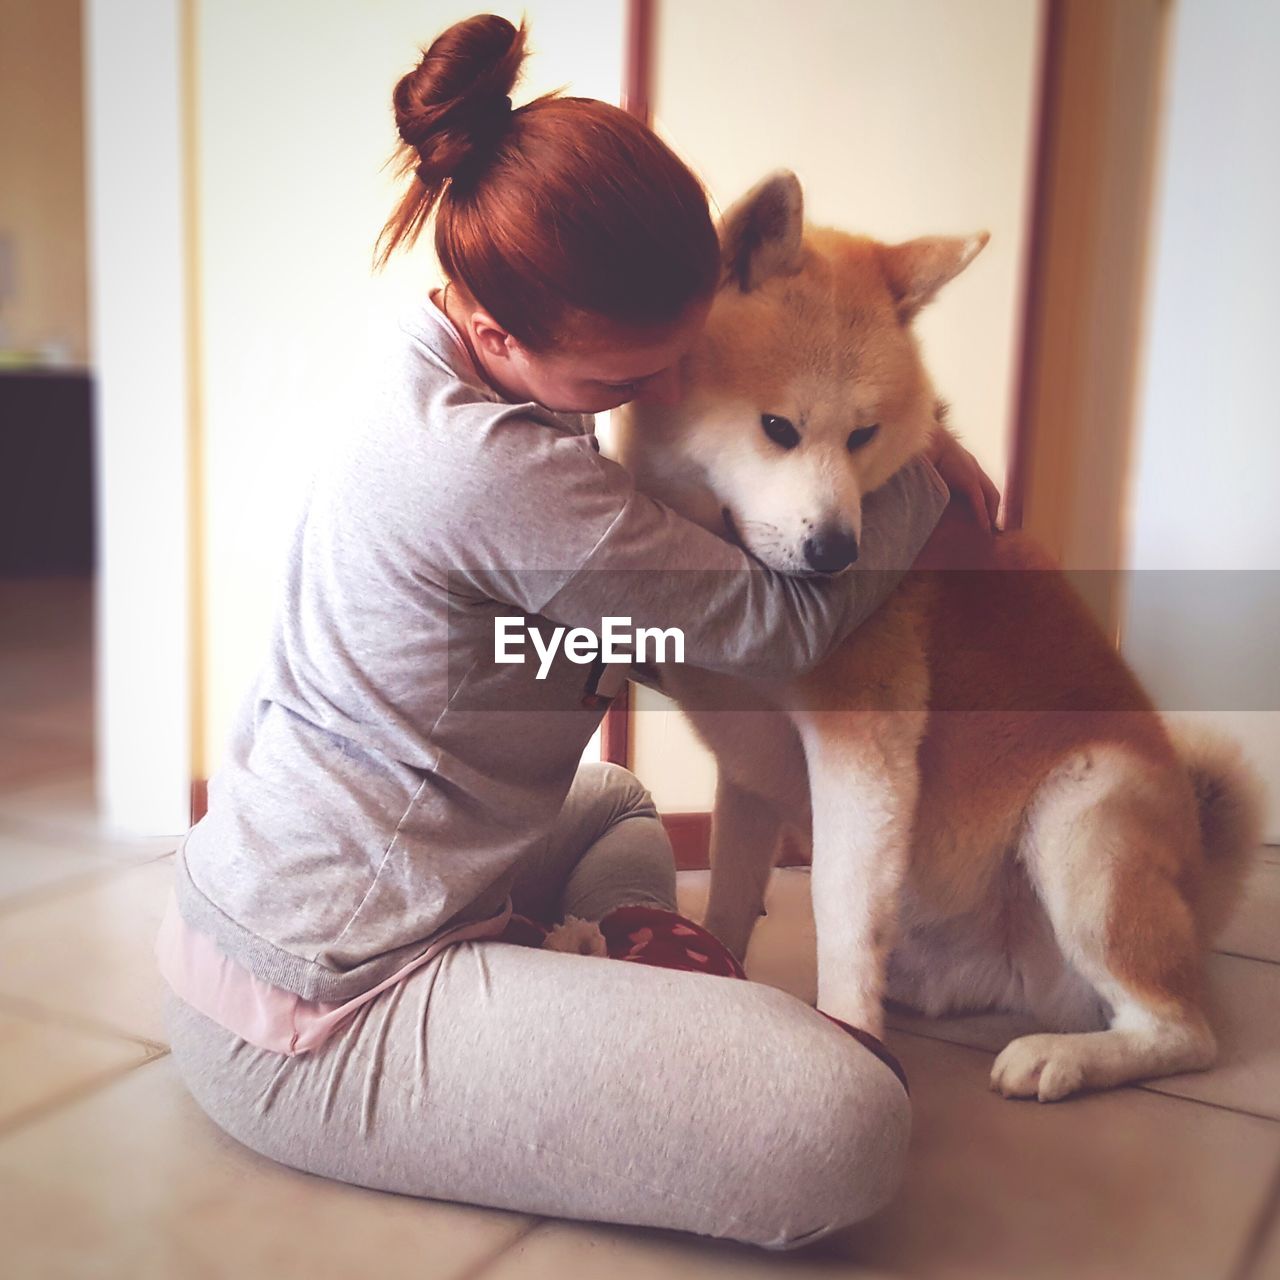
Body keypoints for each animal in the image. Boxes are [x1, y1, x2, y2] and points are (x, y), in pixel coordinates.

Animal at [609, 167, 1269, 1100]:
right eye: (779, 429)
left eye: (862, 436)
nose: (839, 552)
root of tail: (1198, 894)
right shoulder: (750, 774)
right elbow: (734, 893)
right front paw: (717, 970)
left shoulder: (864, 742)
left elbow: (840, 909)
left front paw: (849, 1037)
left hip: (1084, 816)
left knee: (1182, 1030)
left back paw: (1063, 1058)